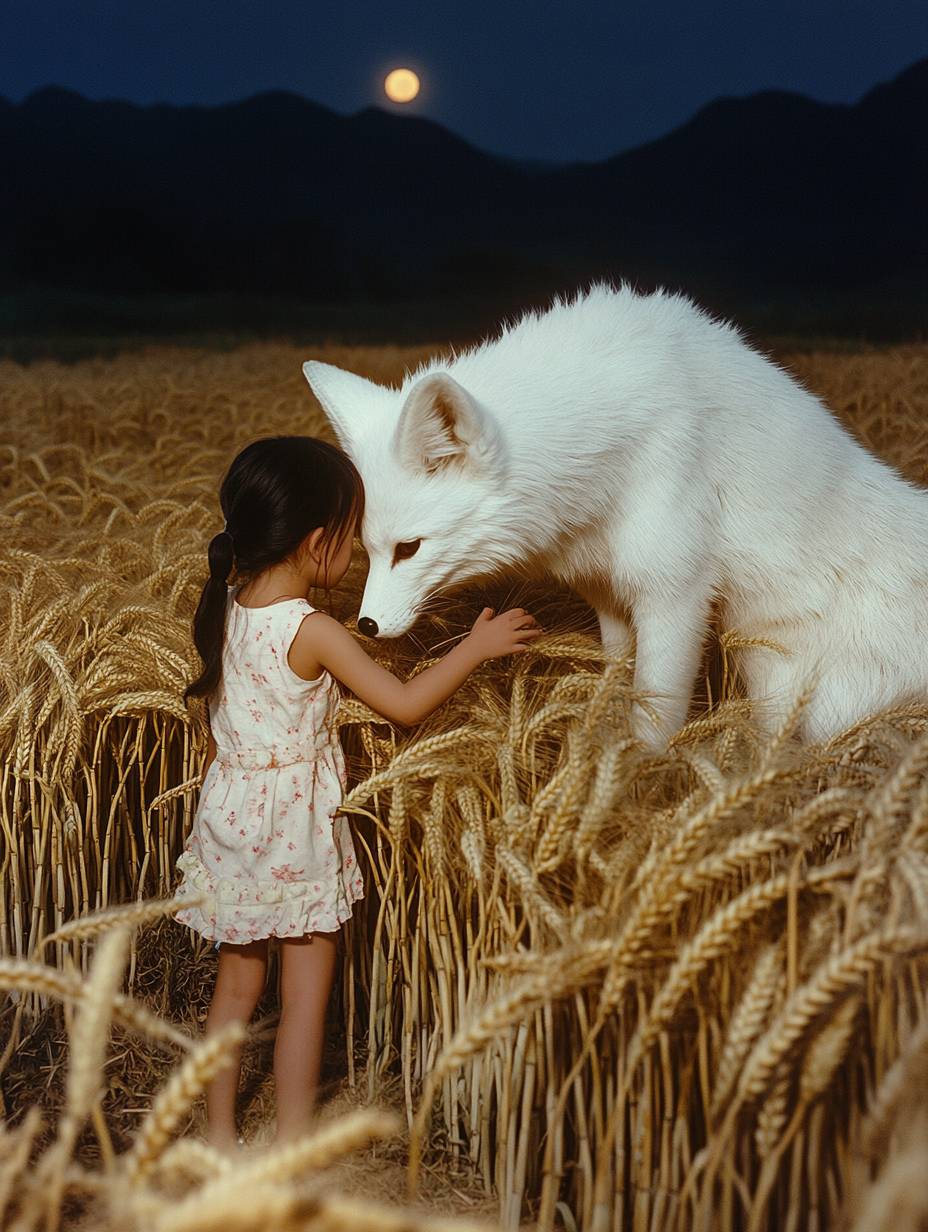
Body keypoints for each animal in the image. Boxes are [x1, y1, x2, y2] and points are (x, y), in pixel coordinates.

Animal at [304, 280, 926, 744]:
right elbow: (613, 681)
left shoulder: (675, 594)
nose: (365, 626)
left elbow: (655, 713)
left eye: (409, 549)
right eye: (368, 549)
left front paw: (635, 780)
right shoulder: (606, 592)